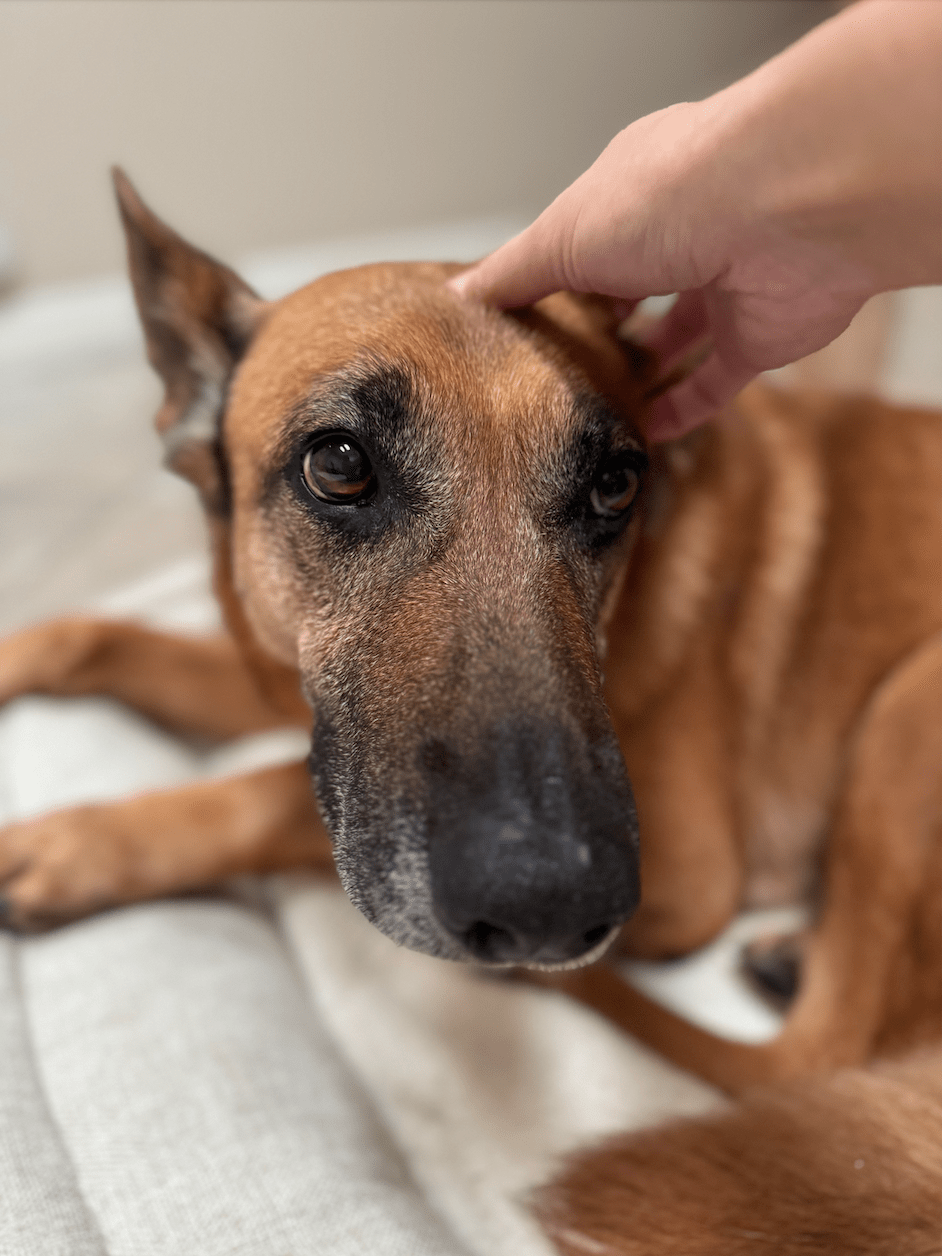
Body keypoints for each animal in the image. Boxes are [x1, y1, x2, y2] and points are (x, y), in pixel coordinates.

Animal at [1, 174, 942, 1245]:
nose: (548, 910)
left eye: (613, 485)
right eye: (340, 465)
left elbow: (276, 794)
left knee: (820, 1050)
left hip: (908, 711)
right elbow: (96, 637)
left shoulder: (687, 872)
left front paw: (84, 843)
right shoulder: (275, 678)